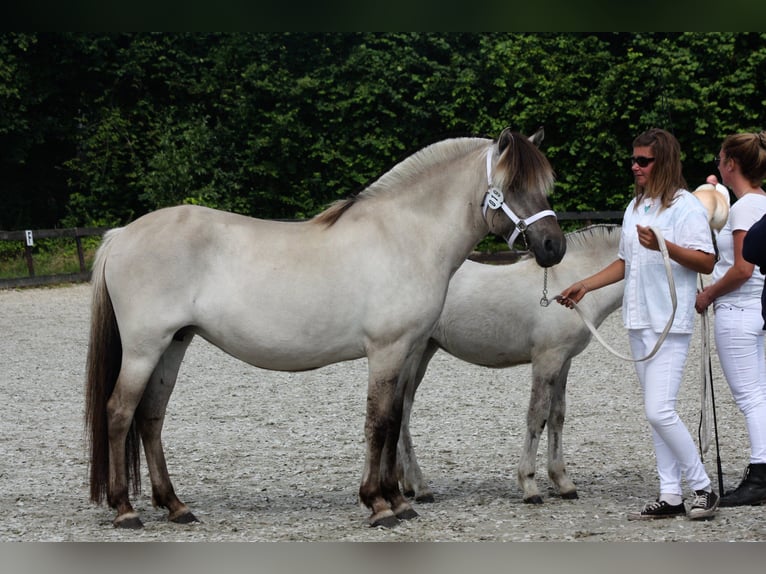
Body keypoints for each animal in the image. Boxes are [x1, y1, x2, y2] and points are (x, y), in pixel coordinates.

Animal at [84, 127, 568, 532]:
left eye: (544, 185)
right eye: (513, 187)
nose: (554, 247)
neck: (404, 237)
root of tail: (122, 234)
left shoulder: (410, 350)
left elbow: (395, 420)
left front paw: (399, 501)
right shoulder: (387, 350)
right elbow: (378, 422)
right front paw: (378, 504)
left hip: (174, 344)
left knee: (150, 417)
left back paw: (175, 506)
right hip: (145, 348)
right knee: (119, 412)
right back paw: (125, 510)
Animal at [396, 225, 624, 504]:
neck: (567, 280)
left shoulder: (564, 361)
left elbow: (557, 416)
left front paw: (563, 483)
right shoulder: (546, 360)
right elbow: (537, 416)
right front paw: (529, 485)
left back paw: (404, 486)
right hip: (414, 355)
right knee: (402, 414)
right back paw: (420, 487)